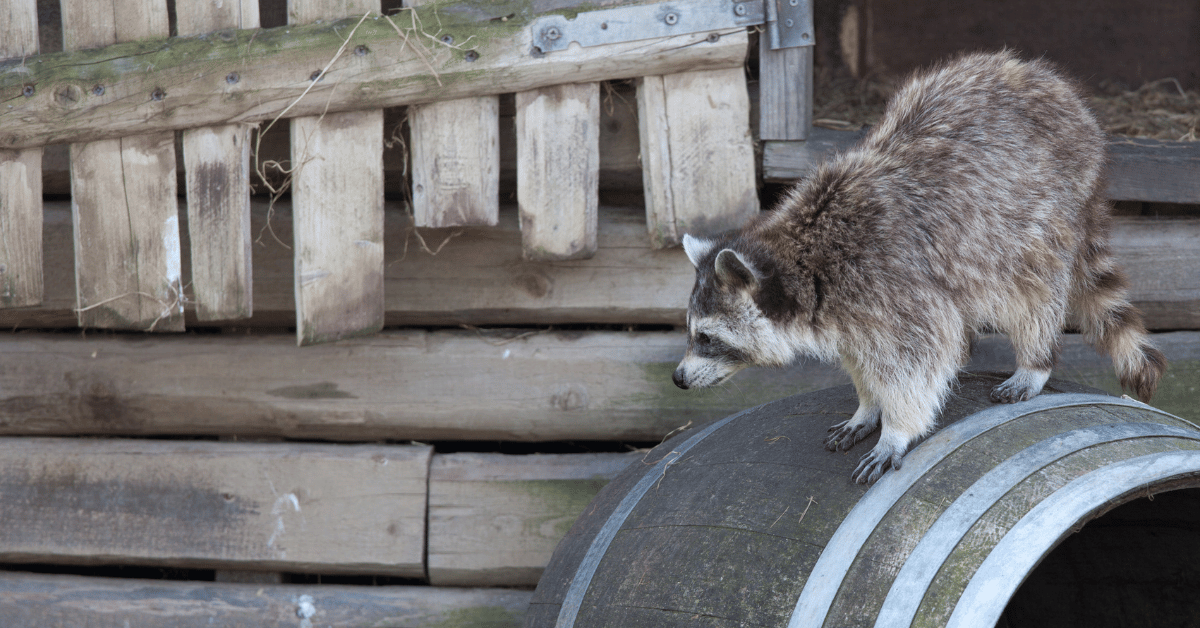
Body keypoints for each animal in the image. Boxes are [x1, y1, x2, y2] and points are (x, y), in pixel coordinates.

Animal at [672, 50, 1167, 484]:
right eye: (692, 332)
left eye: (707, 338)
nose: (677, 379)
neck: (806, 259)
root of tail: (1063, 93)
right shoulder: (850, 311)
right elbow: (864, 358)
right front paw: (867, 405)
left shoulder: (892, 283)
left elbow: (918, 360)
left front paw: (896, 429)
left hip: (1039, 216)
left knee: (1032, 293)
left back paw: (1035, 360)